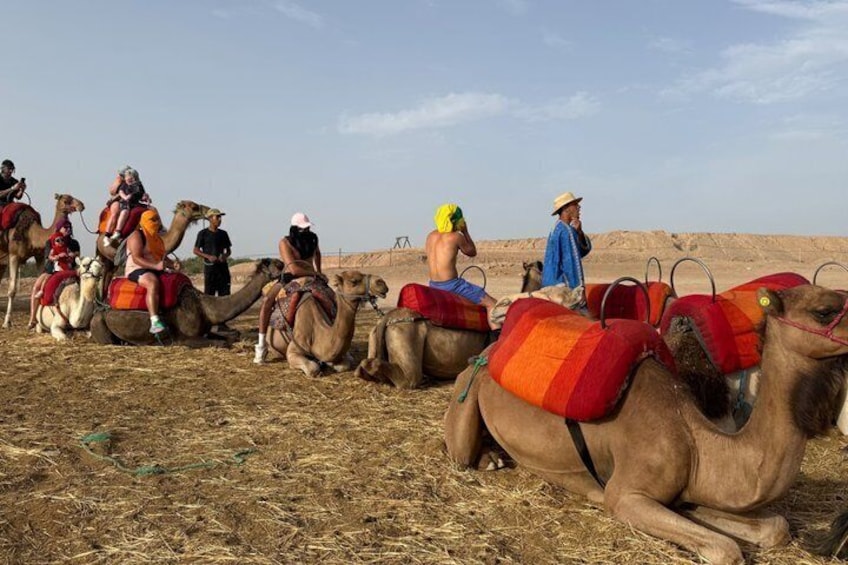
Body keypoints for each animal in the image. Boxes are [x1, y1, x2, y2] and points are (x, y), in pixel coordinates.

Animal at [1, 193, 85, 328]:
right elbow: (12, 290)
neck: (32, 234)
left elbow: (41, 284)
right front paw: (6, 322)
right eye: (66, 200)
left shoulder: (39, 256)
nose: (81, 205)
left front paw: (34, 321)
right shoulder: (14, 255)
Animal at [90, 259, 283, 346]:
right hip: (99, 323)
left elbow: (230, 337)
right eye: (277, 265)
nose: (286, 267)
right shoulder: (184, 338)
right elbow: (222, 343)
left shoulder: (206, 330)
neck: (205, 307)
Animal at [445, 284, 848, 564]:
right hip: (467, 394)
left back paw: (496, 455)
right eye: (825, 311)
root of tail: (487, 351)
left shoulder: (682, 494)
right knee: (459, 451)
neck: (696, 441)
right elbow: (726, 550)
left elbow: (776, 527)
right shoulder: (625, 494)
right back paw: (488, 459)